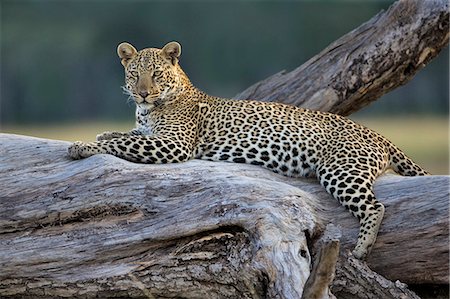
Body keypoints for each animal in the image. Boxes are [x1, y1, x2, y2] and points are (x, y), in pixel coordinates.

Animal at [67, 40, 428, 260]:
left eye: (155, 73)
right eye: (134, 73)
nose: (142, 93)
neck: (148, 110)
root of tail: (376, 133)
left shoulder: (173, 144)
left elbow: (123, 142)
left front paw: (82, 145)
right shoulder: (150, 133)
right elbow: (123, 134)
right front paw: (100, 134)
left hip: (340, 169)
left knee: (376, 207)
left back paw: (362, 249)